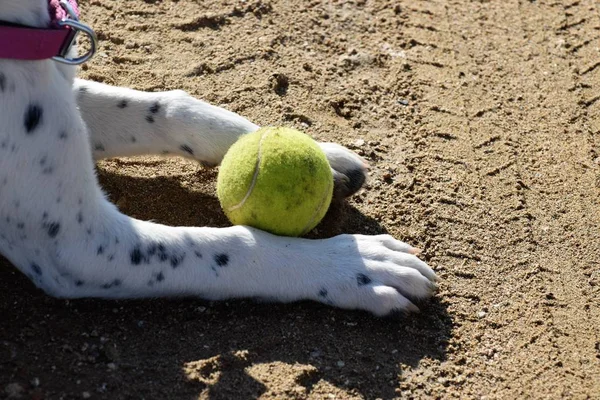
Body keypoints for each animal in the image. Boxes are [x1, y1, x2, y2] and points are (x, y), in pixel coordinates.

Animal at [0, 0, 434, 316]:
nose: (356, 265)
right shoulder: (78, 244)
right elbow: (233, 246)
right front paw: (352, 263)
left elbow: (166, 105)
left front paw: (321, 156)